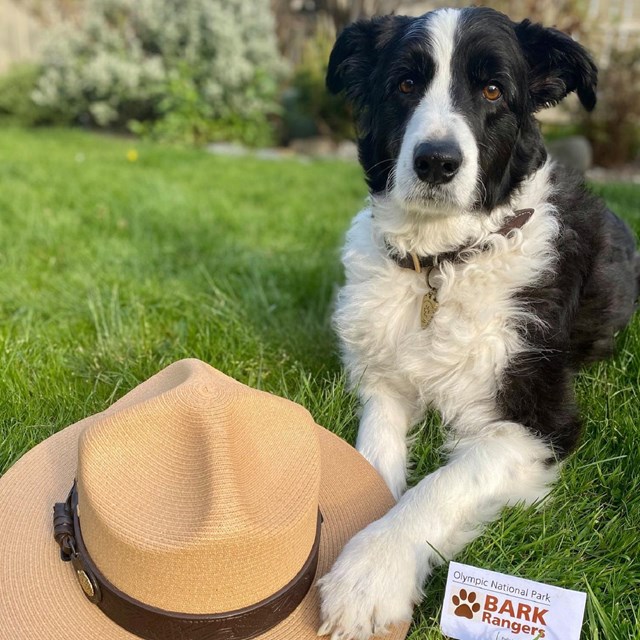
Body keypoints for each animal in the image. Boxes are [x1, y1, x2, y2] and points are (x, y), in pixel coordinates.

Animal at [318, 6, 636, 640]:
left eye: (492, 90)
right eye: (405, 84)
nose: (437, 162)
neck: (442, 262)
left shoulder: (536, 424)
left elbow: (439, 486)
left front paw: (370, 576)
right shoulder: (382, 378)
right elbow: (373, 456)